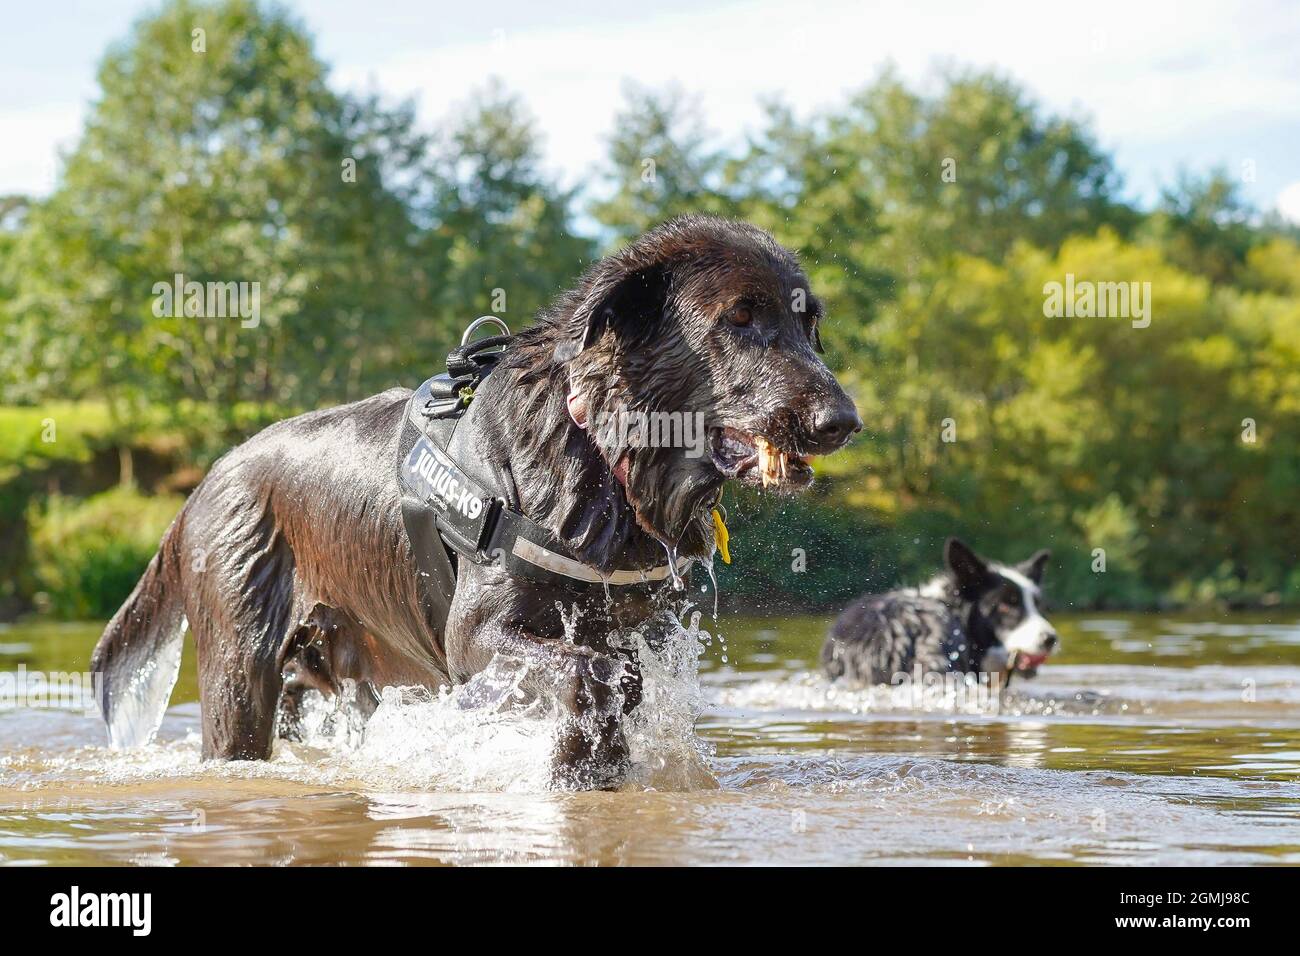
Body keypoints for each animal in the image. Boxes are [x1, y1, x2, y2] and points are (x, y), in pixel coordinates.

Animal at [91, 221, 863, 790]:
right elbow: (595, 671)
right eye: (740, 317)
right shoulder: (476, 637)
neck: (594, 448)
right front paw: (577, 763)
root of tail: (205, 483)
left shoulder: (645, 624)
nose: (843, 421)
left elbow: (620, 671)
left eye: (809, 325)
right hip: (239, 668)